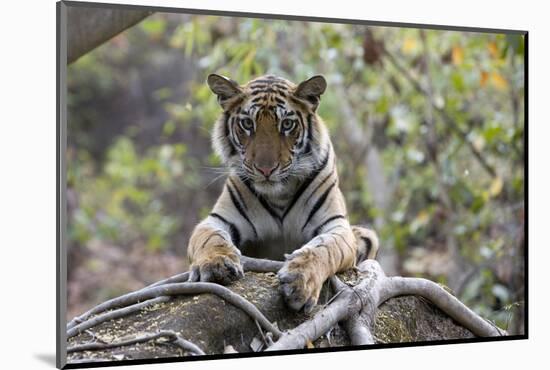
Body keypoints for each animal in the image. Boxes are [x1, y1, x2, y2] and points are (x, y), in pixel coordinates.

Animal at [188, 74, 382, 312]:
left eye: (287, 124)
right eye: (247, 123)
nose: (266, 169)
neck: (278, 194)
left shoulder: (336, 227)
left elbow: (323, 249)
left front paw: (300, 280)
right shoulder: (217, 220)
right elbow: (211, 239)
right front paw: (216, 264)